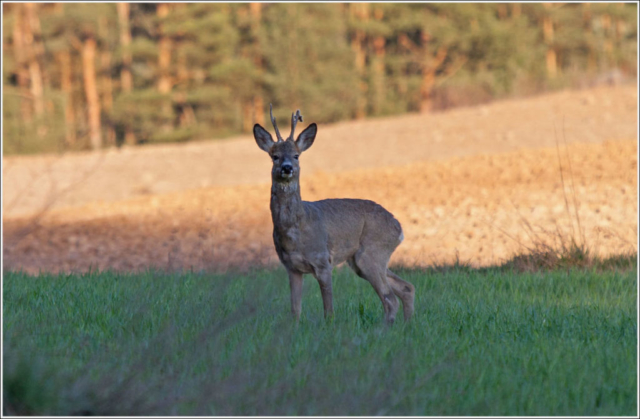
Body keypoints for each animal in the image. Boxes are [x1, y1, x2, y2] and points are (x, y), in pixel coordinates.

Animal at [252, 105, 418, 324]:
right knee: (406, 287)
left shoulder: (323, 260)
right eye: (274, 156)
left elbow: (329, 310)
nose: (287, 168)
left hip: (371, 253)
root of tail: (399, 228)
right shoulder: (291, 267)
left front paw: (329, 326)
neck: (295, 229)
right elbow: (295, 310)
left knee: (390, 299)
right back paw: (406, 325)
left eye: (296, 155)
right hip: (360, 260)